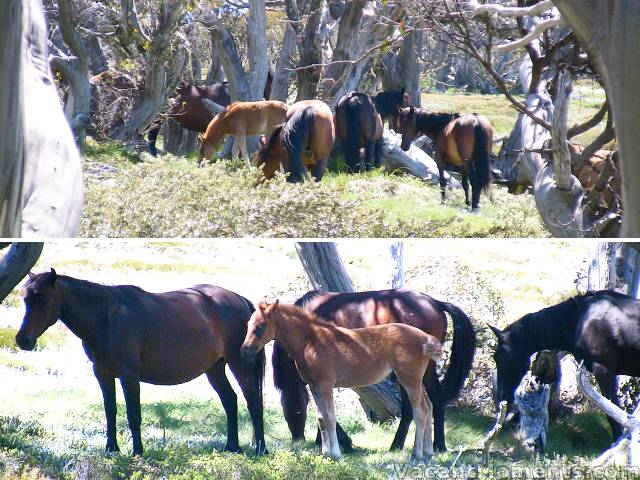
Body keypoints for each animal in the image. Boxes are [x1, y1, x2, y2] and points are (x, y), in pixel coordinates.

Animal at [13, 270, 268, 458]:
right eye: (26, 299)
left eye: (42, 299)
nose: (23, 339)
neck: (106, 318)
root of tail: (238, 299)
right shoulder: (103, 374)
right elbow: (110, 411)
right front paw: (111, 450)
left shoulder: (129, 377)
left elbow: (133, 414)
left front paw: (137, 452)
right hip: (214, 368)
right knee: (230, 401)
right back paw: (232, 447)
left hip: (239, 364)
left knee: (253, 402)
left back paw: (260, 449)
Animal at [240, 300, 444, 462]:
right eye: (248, 324)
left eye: (260, 326)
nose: (244, 351)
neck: (310, 341)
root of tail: (424, 337)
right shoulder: (313, 386)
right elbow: (321, 418)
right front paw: (325, 453)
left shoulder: (326, 384)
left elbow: (330, 417)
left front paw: (336, 453)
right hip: (417, 380)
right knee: (429, 405)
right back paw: (428, 452)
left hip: (409, 380)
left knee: (420, 410)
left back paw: (416, 454)